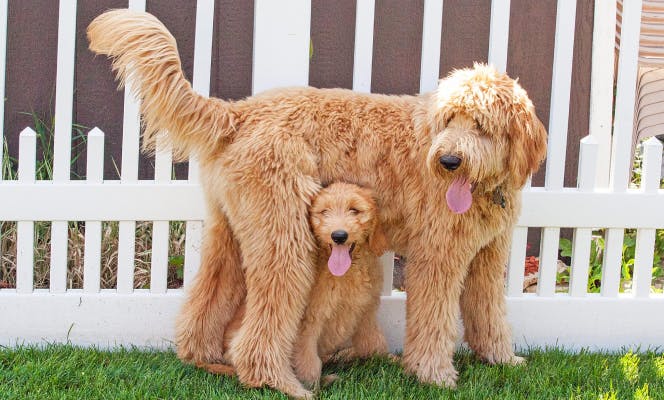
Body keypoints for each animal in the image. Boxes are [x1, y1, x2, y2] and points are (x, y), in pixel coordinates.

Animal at [88, 8, 544, 396]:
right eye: (449, 120)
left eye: (480, 125)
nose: (448, 161)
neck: (485, 186)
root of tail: (238, 113)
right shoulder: (437, 257)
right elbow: (434, 321)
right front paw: (435, 376)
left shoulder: (487, 257)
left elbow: (489, 313)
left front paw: (502, 359)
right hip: (285, 240)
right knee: (261, 330)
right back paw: (281, 382)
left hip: (231, 235)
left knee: (205, 306)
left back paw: (209, 362)